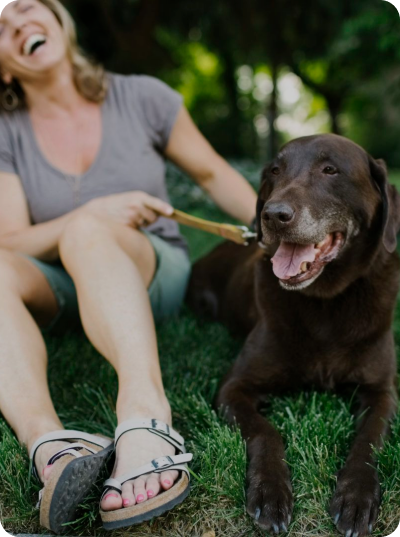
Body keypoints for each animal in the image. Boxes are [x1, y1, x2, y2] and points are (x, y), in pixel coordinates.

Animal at [188, 132, 400, 532]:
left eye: (330, 169)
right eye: (275, 170)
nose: (273, 215)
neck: (325, 302)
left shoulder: (382, 392)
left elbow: (368, 440)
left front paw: (357, 496)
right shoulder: (234, 387)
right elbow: (265, 431)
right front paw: (270, 493)